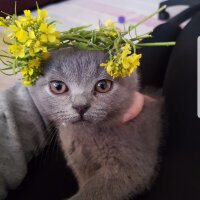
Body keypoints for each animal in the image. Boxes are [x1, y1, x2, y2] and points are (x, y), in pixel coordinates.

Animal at [28, 47, 162, 200]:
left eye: (103, 86)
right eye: (58, 86)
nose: (80, 106)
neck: (86, 139)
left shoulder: (133, 164)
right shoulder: (79, 163)